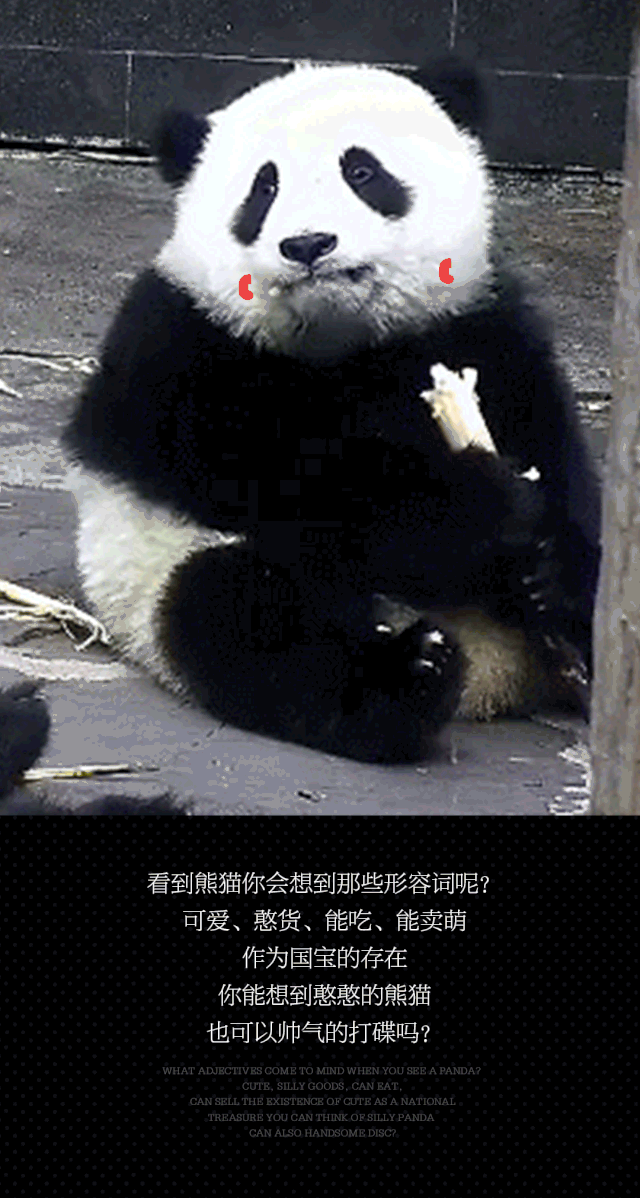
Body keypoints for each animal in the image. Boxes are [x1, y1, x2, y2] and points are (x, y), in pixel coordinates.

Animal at [53, 56, 599, 768]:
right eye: (263, 189)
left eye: (362, 171)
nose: (309, 243)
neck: (348, 340)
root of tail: (494, 673)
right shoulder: (181, 351)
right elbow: (283, 480)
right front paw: (480, 505)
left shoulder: (478, 326)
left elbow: (551, 442)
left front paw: (550, 567)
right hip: (160, 563)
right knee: (247, 616)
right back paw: (408, 678)